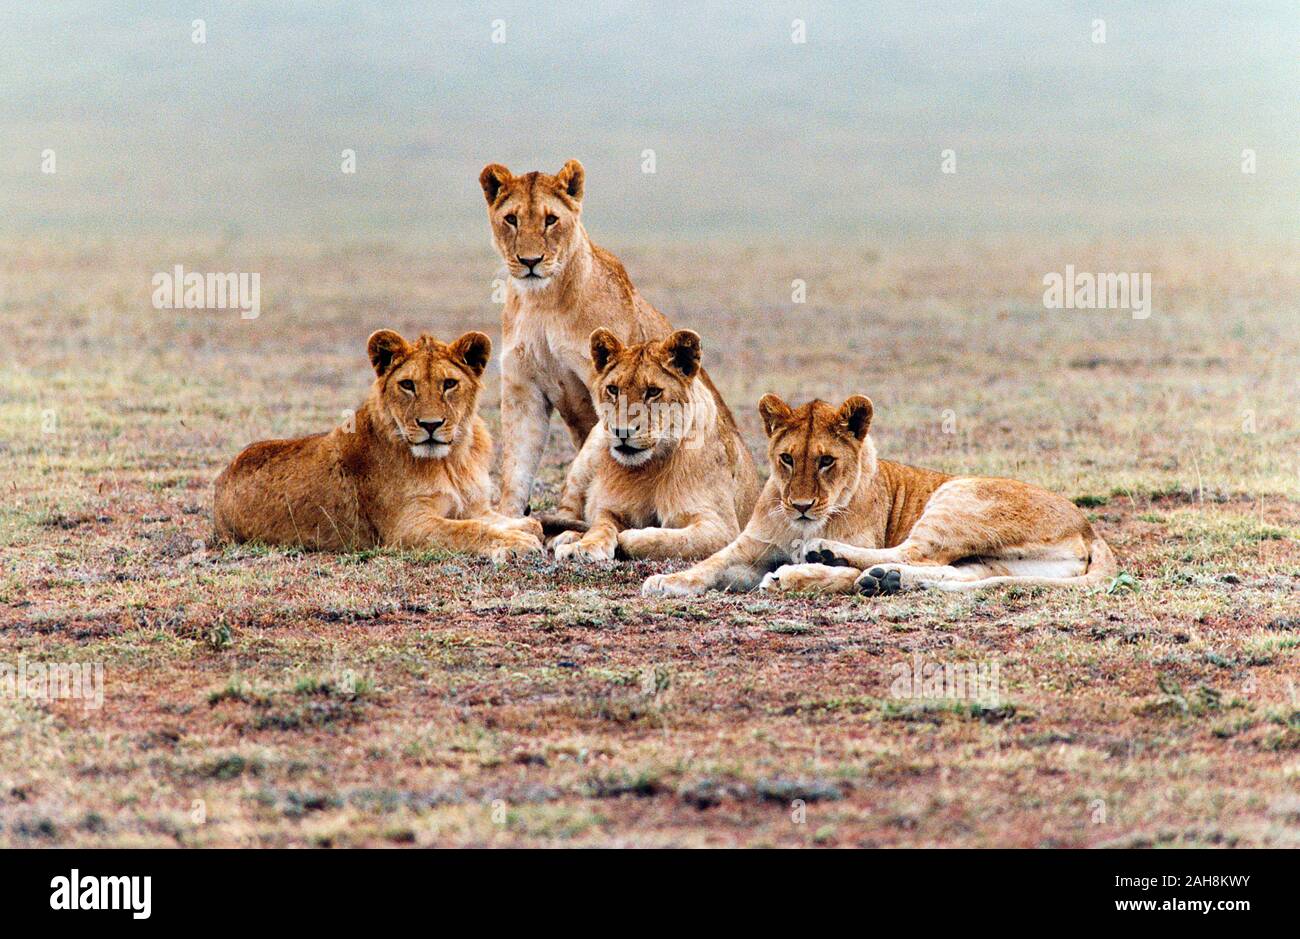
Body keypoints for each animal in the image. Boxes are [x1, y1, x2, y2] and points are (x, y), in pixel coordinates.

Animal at [211, 325, 543, 559]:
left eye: (449, 384)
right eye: (407, 385)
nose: (430, 425)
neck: (450, 459)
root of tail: (223, 476)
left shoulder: (473, 506)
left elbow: (516, 522)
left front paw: (524, 529)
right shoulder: (406, 527)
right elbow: (467, 530)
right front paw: (517, 542)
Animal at [548, 325, 759, 559]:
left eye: (653, 391)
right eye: (613, 389)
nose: (622, 431)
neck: (652, 466)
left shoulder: (722, 527)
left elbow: (671, 541)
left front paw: (628, 536)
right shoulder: (609, 507)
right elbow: (599, 526)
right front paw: (584, 546)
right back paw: (566, 537)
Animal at [642, 390, 1118, 595]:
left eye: (826, 461)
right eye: (787, 458)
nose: (801, 505)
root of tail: (1089, 526)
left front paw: (800, 571)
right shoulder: (748, 547)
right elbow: (710, 563)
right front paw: (668, 581)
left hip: (956, 496)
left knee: (913, 552)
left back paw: (831, 558)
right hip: (994, 558)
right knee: (951, 572)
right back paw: (884, 579)